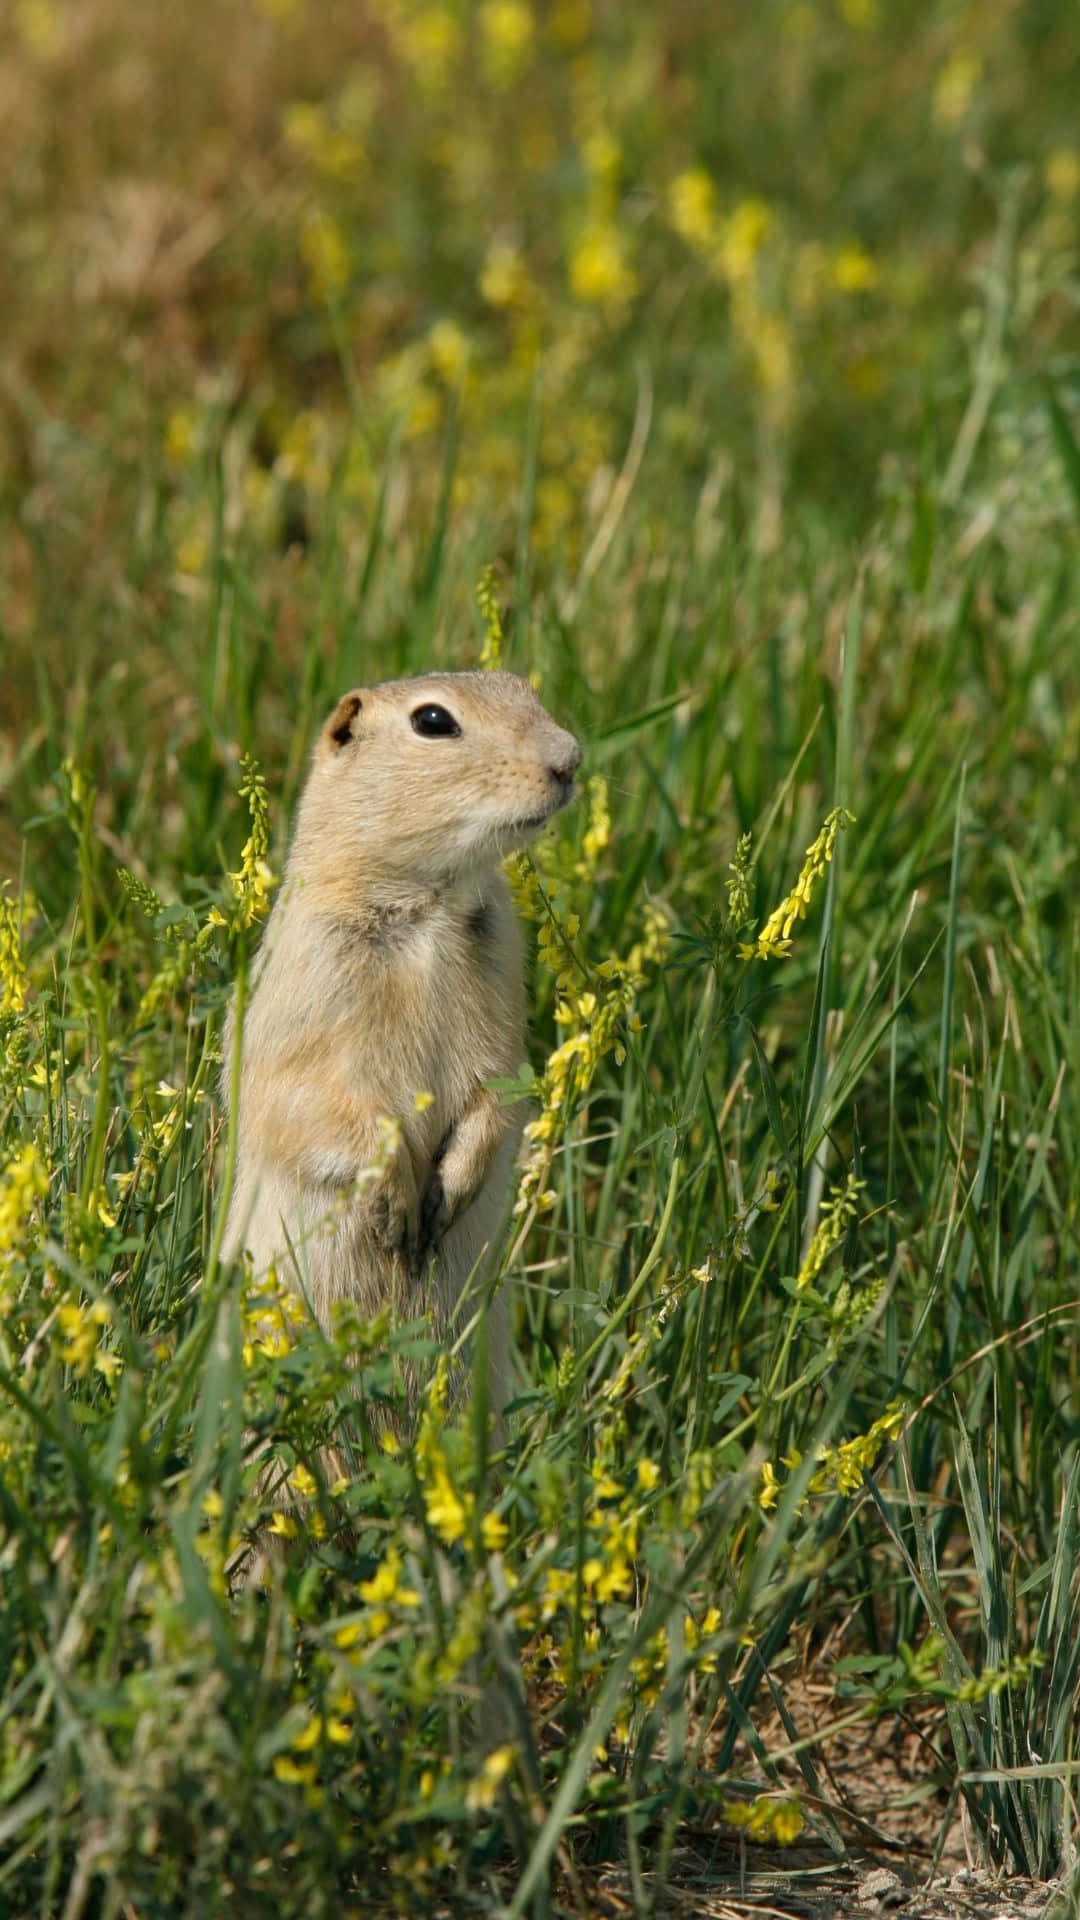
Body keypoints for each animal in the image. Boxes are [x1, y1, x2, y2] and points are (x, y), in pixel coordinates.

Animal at [217, 668, 580, 1420]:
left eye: (523, 687)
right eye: (433, 721)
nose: (570, 759)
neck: (429, 909)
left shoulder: (502, 994)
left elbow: (500, 1089)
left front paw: (448, 1193)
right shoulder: (307, 993)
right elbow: (316, 1101)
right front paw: (398, 1209)